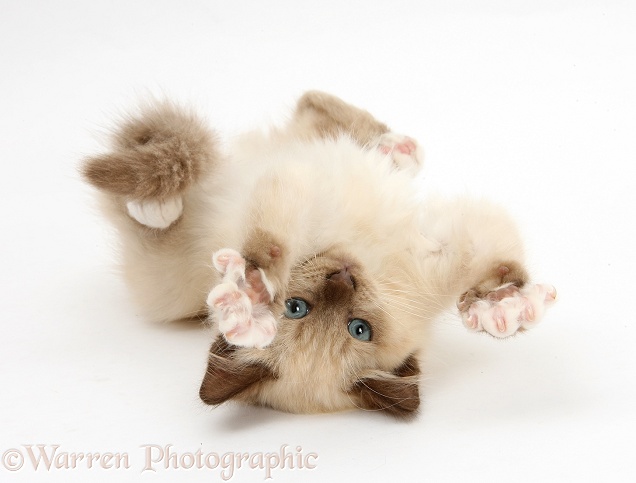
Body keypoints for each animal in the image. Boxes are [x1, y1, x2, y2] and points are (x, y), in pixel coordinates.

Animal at [82, 91, 556, 420]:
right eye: (296, 308)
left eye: (359, 329)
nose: (342, 277)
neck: (359, 254)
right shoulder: (294, 193)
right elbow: (268, 244)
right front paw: (250, 294)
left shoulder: (443, 256)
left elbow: (504, 268)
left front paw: (504, 309)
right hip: (167, 285)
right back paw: (157, 207)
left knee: (317, 108)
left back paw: (396, 150)